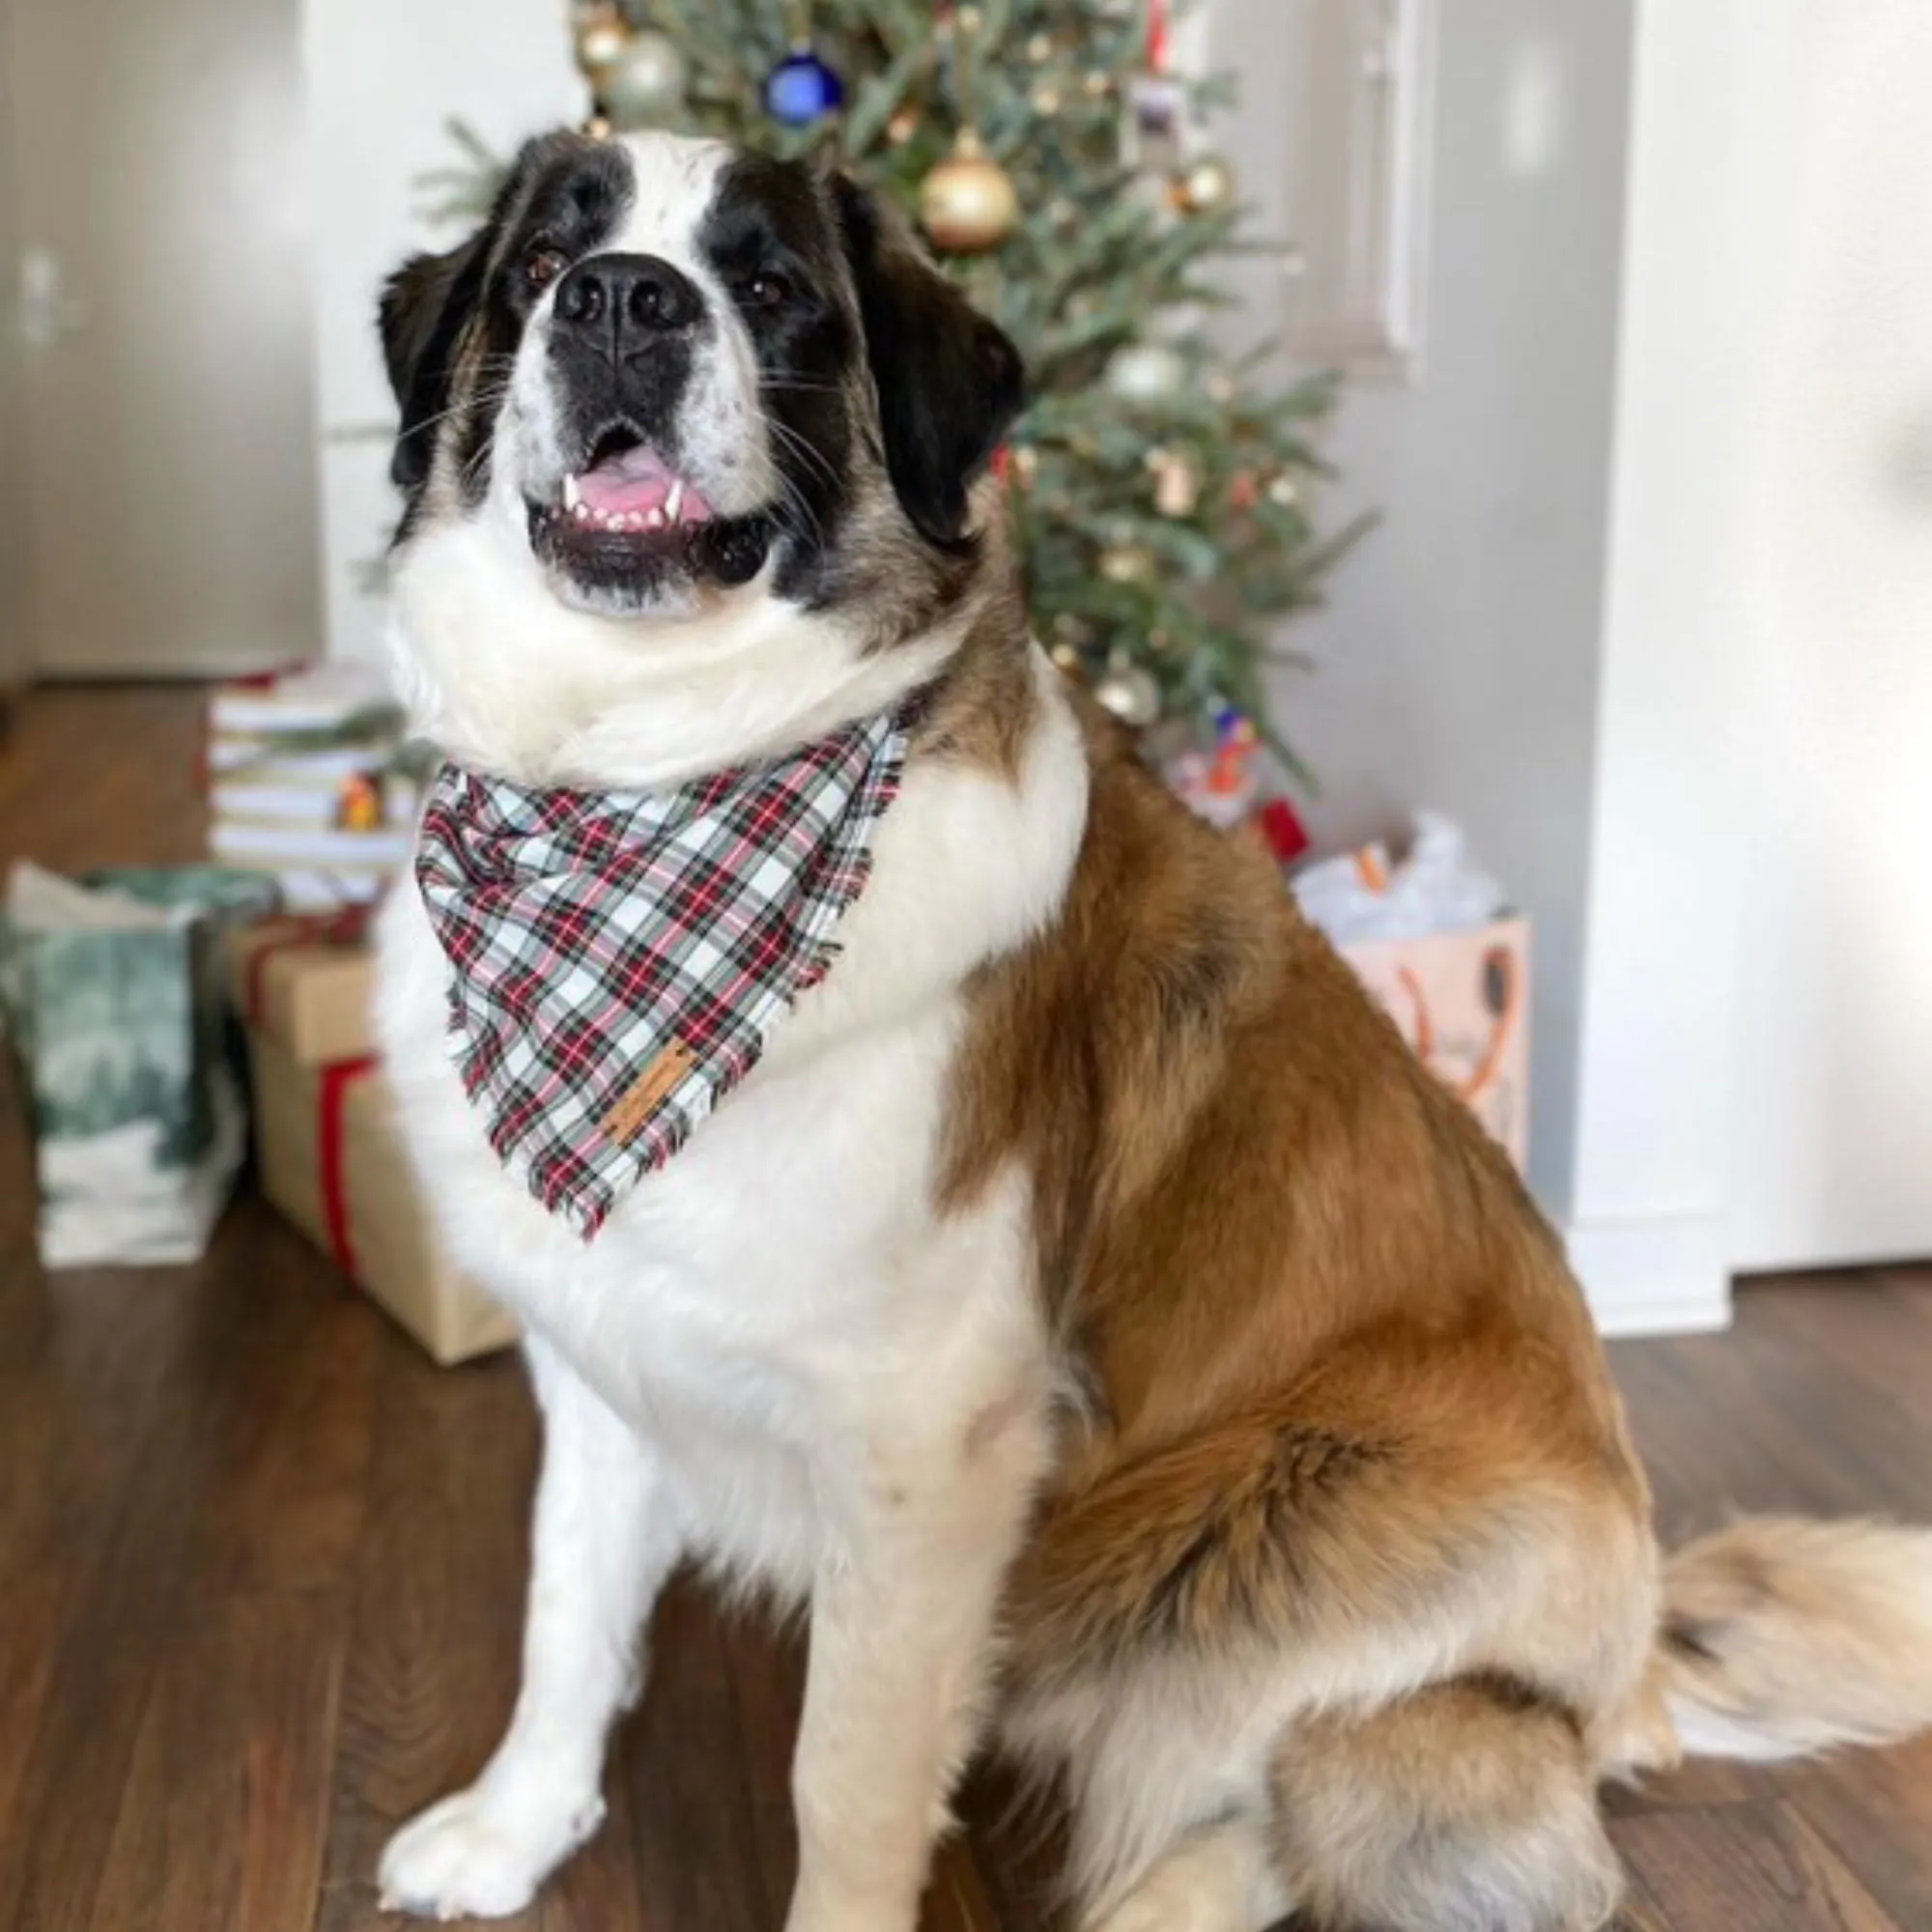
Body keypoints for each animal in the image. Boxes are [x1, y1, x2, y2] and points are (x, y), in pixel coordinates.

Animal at [373, 128, 1932, 1924]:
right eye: (541, 265)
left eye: (767, 285)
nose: (623, 299)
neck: (648, 798)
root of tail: (1632, 1671)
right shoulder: (603, 1351)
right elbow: (565, 1613)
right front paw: (512, 1829)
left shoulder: (927, 1454)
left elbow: (844, 1778)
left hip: (1257, 1544)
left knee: (1319, 1808)